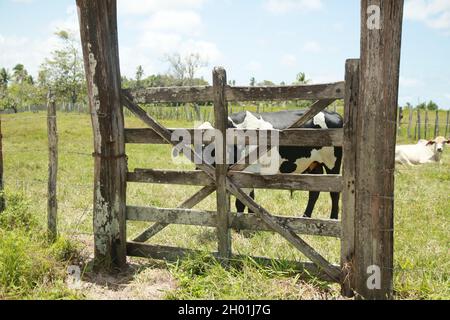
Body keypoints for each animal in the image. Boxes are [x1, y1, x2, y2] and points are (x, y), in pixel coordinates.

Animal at [195, 110, 342, 220]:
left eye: (211, 147)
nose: (198, 166)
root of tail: (333, 113)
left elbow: (241, 203)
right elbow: (250, 200)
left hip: (332, 163)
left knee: (334, 193)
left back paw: (333, 218)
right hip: (314, 165)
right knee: (314, 192)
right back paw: (305, 216)